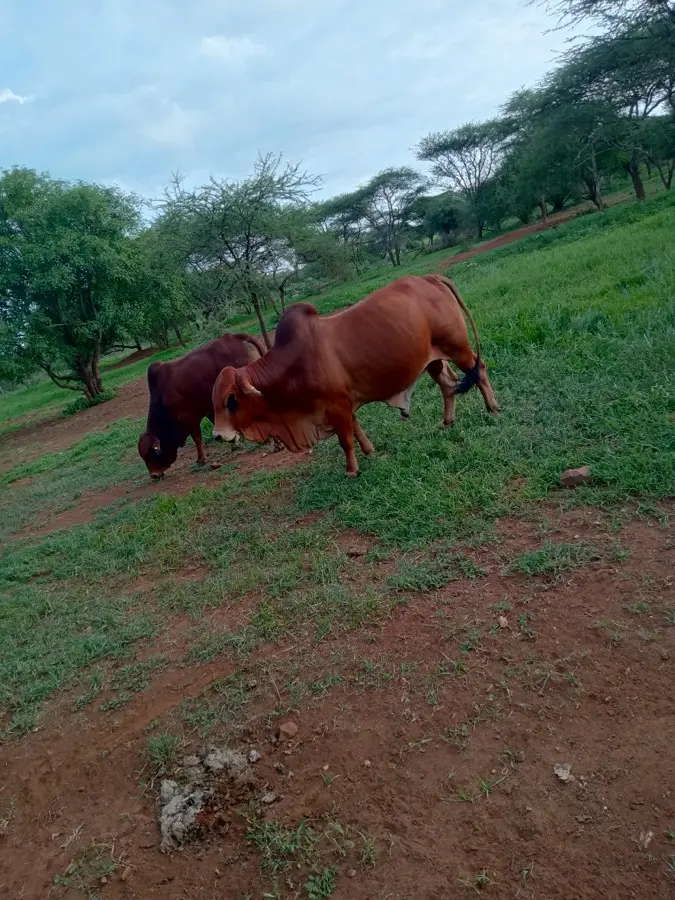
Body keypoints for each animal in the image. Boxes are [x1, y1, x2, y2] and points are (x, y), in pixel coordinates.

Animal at [138, 333, 265, 480]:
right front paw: (234, 443)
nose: (154, 475)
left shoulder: (189, 418)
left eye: (151, 454)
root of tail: (236, 336)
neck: (162, 398)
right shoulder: (210, 409)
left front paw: (201, 460)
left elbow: (197, 438)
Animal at [211, 275, 499, 477]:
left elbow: (345, 440)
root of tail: (429, 277)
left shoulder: (337, 406)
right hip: (433, 359)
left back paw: (493, 409)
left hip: (458, 347)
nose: (218, 435)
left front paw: (351, 470)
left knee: (480, 371)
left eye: (231, 400)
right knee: (448, 384)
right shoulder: (344, 403)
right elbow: (357, 431)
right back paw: (447, 423)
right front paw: (370, 452)